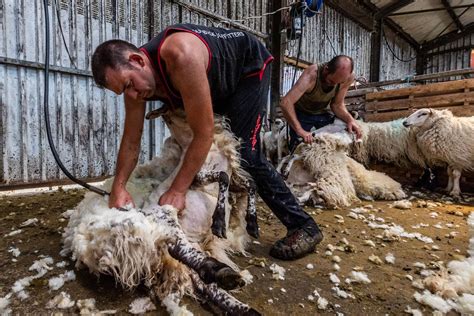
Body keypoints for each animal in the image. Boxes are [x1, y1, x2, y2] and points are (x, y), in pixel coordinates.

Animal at [61, 105, 262, 314]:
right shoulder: (197, 176)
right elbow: (223, 176)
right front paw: (219, 221)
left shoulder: (235, 183)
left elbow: (251, 184)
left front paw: (252, 224)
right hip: (165, 220)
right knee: (180, 250)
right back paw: (224, 274)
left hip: (186, 241)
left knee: (203, 282)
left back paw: (242, 305)